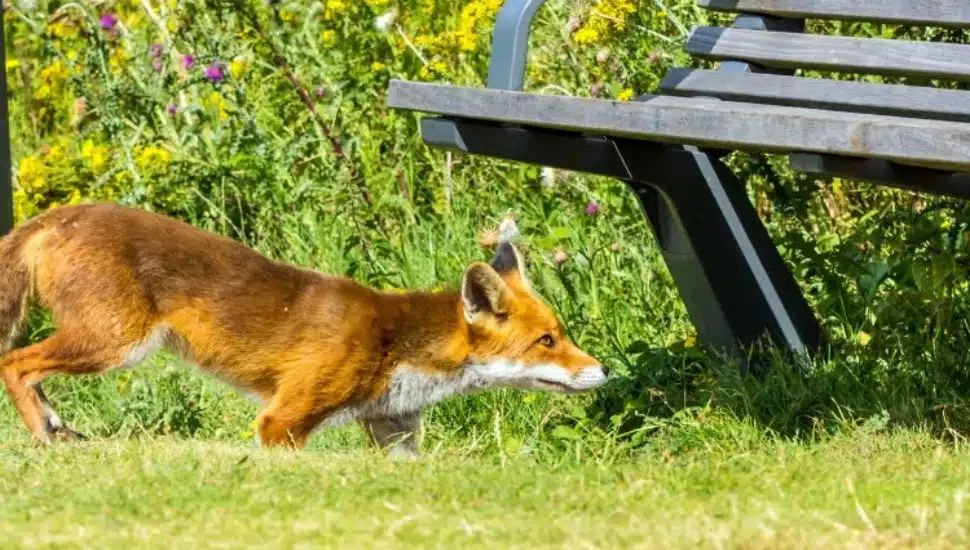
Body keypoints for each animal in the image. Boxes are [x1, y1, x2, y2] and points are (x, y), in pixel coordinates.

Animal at [0, 203, 608, 456]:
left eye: (562, 333)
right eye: (547, 342)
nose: (603, 370)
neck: (397, 348)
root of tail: (59, 214)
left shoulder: (393, 431)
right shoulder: (282, 422)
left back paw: (55, 426)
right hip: (115, 344)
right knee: (14, 362)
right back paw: (43, 435)